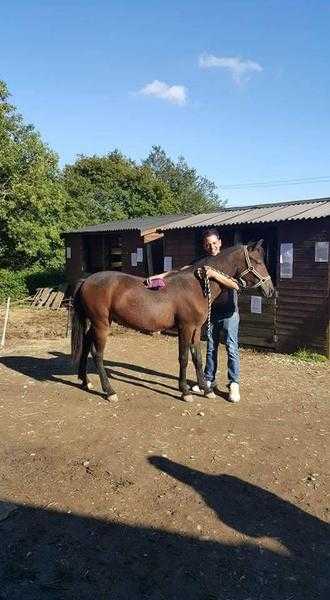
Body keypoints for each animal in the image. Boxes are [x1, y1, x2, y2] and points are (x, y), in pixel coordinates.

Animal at [70, 240, 274, 404]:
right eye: (257, 262)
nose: (270, 290)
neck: (197, 285)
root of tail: (87, 280)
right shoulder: (185, 328)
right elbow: (183, 358)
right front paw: (185, 391)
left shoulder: (196, 330)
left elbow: (197, 358)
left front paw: (206, 389)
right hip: (101, 324)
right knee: (97, 354)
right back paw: (109, 391)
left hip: (95, 324)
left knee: (86, 344)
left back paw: (86, 381)